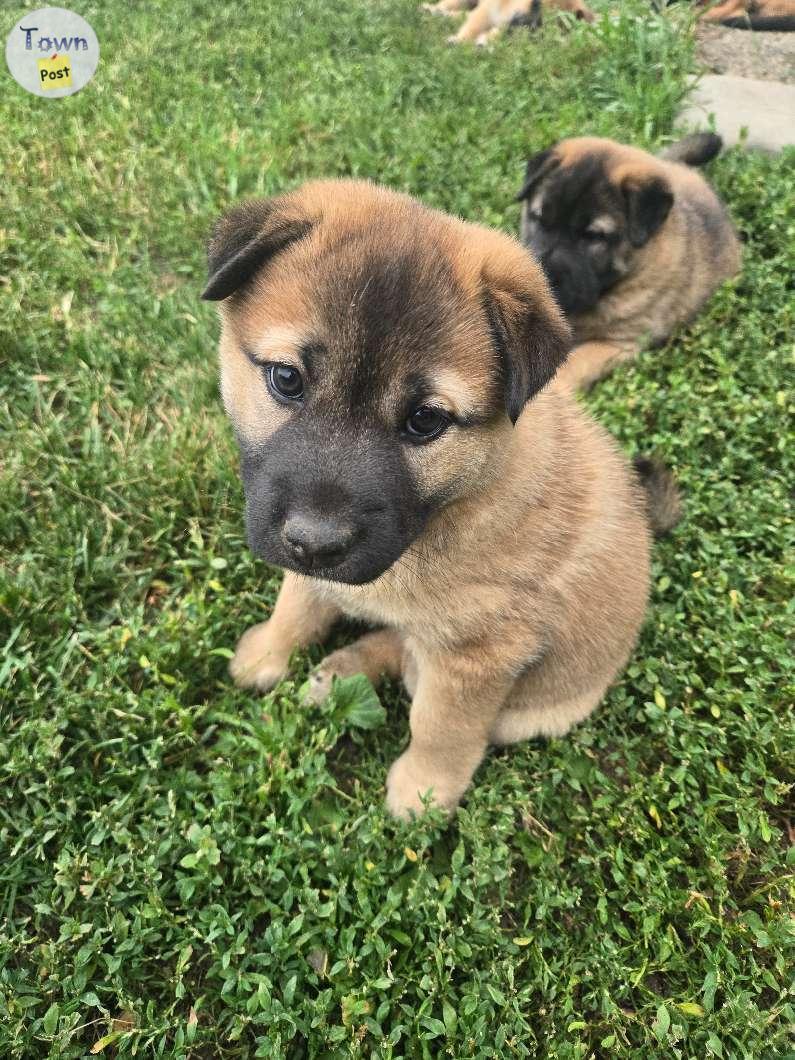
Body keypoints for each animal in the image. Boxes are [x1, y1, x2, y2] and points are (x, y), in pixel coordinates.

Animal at [203, 180, 678, 818]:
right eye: (286, 379)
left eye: (425, 420)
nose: (316, 543)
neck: (447, 512)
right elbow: (297, 602)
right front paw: (266, 654)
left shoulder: (477, 656)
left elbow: (439, 723)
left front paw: (423, 791)